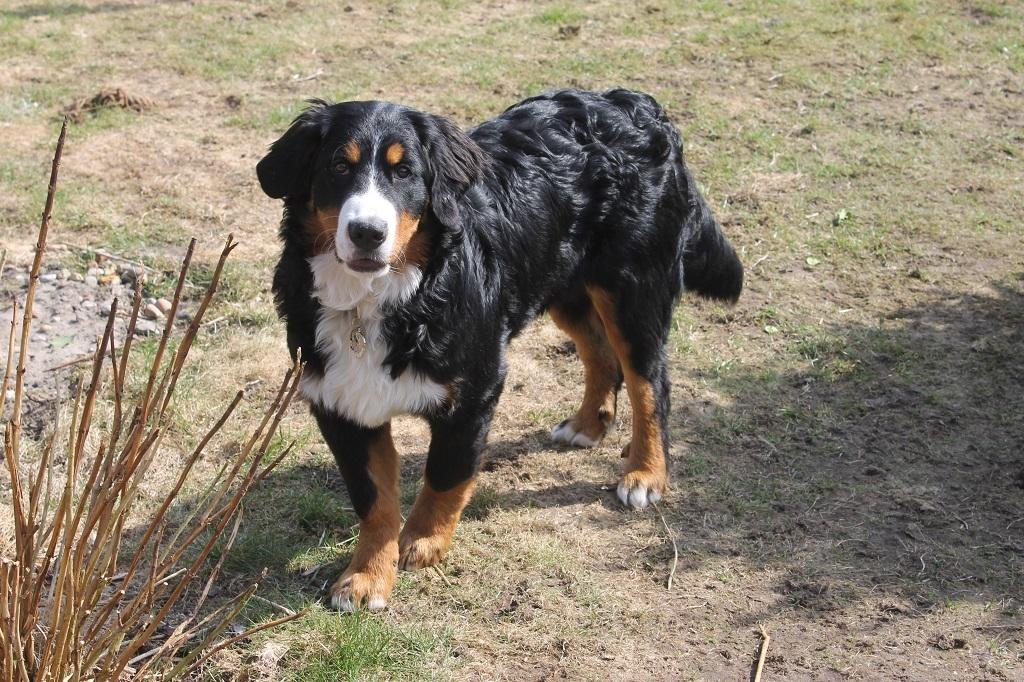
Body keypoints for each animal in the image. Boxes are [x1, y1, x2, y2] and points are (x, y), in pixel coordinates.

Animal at [253, 87, 737, 606]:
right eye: (338, 167)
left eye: (405, 173)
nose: (367, 232)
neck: (381, 302)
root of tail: (633, 103)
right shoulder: (339, 401)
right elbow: (373, 499)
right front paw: (366, 577)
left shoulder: (475, 387)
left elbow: (446, 473)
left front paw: (423, 541)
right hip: (561, 284)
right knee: (600, 354)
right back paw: (587, 424)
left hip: (632, 289)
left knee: (650, 382)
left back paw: (645, 474)